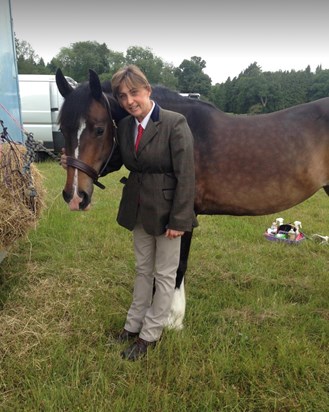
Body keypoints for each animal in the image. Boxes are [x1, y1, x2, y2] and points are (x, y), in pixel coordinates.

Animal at [55, 68, 328, 328]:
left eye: (99, 129)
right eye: (62, 129)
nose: (75, 196)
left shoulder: (182, 216)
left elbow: (177, 265)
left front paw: (170, 319)